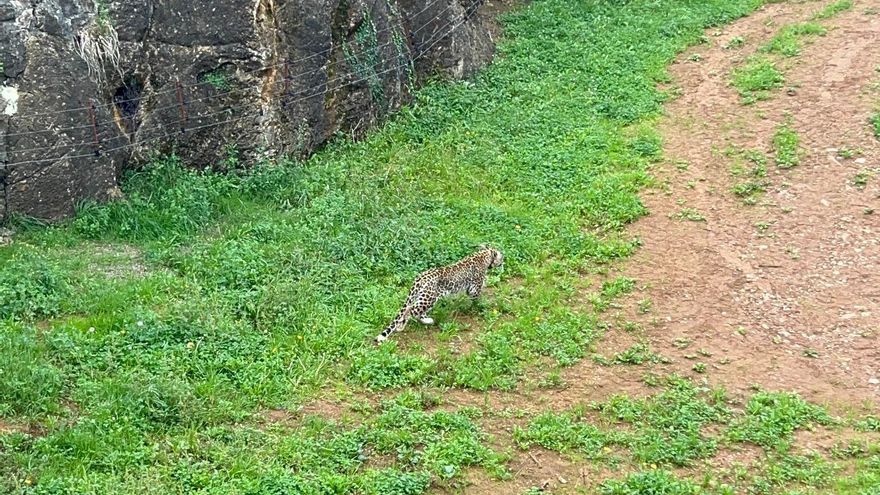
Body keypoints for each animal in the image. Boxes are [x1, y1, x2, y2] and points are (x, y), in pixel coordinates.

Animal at [375, 246, 504, 344]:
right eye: (501, 256)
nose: (504, 261)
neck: (484, 256)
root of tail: (419, 278)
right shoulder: (475, 288)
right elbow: (477, 300)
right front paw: (481, 306)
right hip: (429, 298)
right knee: (410, 310)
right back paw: (401, 326)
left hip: (424, 298)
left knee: (416, 311)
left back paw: (427, 320)